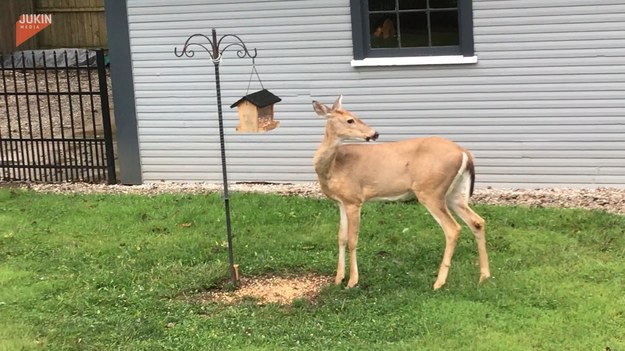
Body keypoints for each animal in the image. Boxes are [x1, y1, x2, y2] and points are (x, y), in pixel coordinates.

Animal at [310, 95, 490, 290]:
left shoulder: (354, 199)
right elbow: (341, 237)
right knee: (477, 222)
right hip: (454, 194)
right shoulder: (341, 201)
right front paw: (338, 279)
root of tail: (465, 153)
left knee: (453, 228)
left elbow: (352, 239)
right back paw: (484, 276)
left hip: (431, 190)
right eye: (350, 119)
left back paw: (439, 283)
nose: (374, 133)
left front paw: (352, 281)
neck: (333, 167)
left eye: (354, 116)